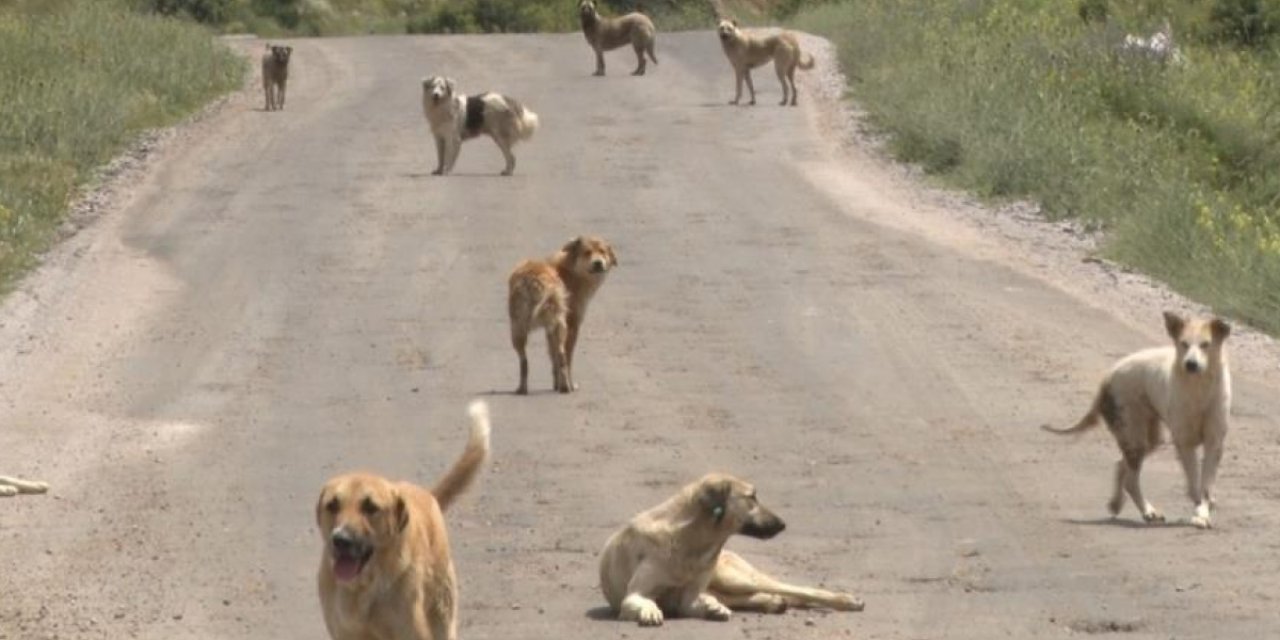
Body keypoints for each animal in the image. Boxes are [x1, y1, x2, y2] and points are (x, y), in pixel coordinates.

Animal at [317, 401, 491, 637]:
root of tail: (428, 494)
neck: (364, 586)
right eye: (332, 505)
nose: (341, 539)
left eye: (370, 507)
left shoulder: (411, 630)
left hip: (442, 611)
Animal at [504, 235, 614, 394]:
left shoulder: (549, 330)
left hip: (520, 327)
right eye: (587, 252)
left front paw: (556, 384)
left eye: (602, 251)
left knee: (525, 362)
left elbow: (553, 357)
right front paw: (568, 383)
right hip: (556, 326)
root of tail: (534, 280)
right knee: (563, 356)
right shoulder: (572, 325)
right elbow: (567, 358)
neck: (571, 270)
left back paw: (524, 388)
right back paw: (567, 387)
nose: (598, 263)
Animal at [596, 473, 860, 627]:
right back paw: (770, 602)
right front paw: (650, 609)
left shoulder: (689, 597)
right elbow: (641, 601)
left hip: (734, 578)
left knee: (797, 590)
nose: (783, 524)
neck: (690, 541)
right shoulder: (636, 595)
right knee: (764, 595)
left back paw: (846, 600)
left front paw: (711, 608)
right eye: (752, 497)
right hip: (730, 585)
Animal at [1044, 311, 1233, 529]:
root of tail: (1109, 376)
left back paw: (1117, 503)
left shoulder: (1214, 443)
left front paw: (1203, 512)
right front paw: (1200, 512)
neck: (1199, 388)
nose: (1191, 364)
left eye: (1205, 344)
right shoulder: (1184, 443)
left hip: (1150, 440)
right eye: (1184, 344)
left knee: (1121, 465)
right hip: (1136, 438)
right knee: (1131, 481)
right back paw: (1148, 512)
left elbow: (1205, 487)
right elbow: (1195, 485)